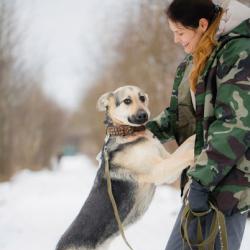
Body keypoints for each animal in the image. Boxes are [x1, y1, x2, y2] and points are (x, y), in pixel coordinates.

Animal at [55, 85, 195, 250]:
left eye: (142, 98)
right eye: (127, 101)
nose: (144, 115)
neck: (127, 133)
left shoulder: (165, 160)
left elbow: (185, 147)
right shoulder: (160, 171)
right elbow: (187, 151)